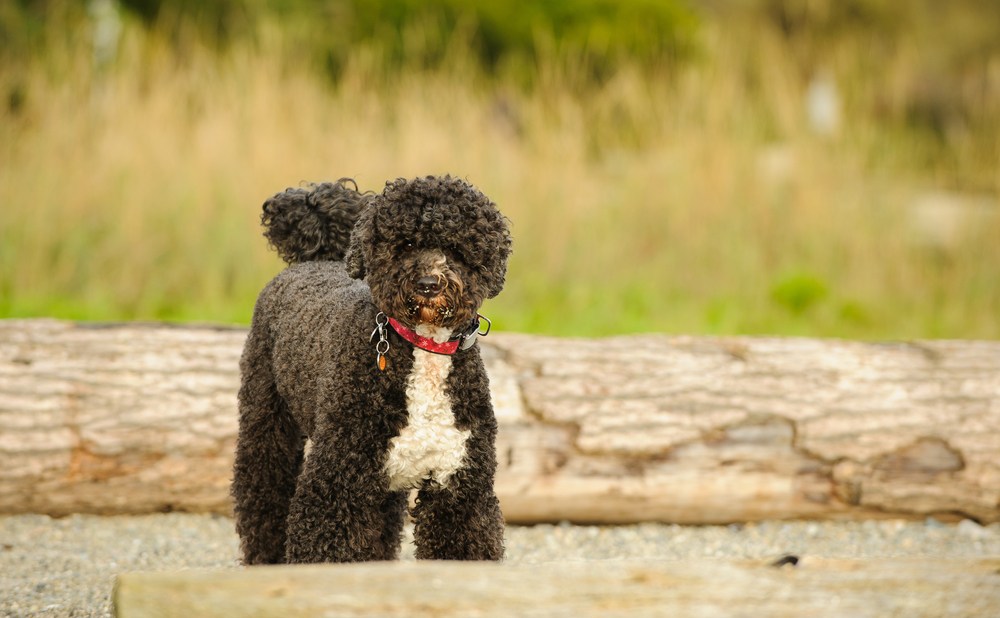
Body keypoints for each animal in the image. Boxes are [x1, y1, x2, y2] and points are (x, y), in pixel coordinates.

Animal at [231, 174, 512, 564]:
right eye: (405, 243)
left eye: (456, 249)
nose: (428, 285)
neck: (422, 350)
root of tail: (313, 261)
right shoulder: (335, 483)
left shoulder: (458, 488)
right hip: (267, 423)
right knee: (262, 496)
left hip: (383, 487)